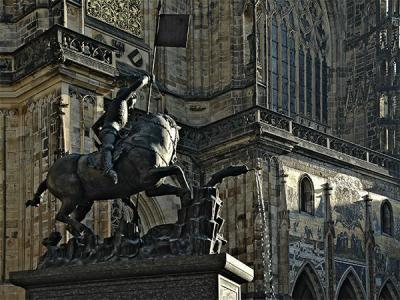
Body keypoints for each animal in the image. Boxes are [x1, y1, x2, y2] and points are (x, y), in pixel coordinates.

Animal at [26, 113, 191, 237]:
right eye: (177, 137)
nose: (174, 156)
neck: (147, 141)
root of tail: (48, 176)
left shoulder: (153, 186)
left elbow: (176, 177)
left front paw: (185, 195)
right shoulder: (148, 176)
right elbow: (177, 169)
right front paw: (189, 193)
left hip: (85, 201)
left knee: (70, 223)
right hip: (71, 197)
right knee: (60, 216)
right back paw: (85, 231)